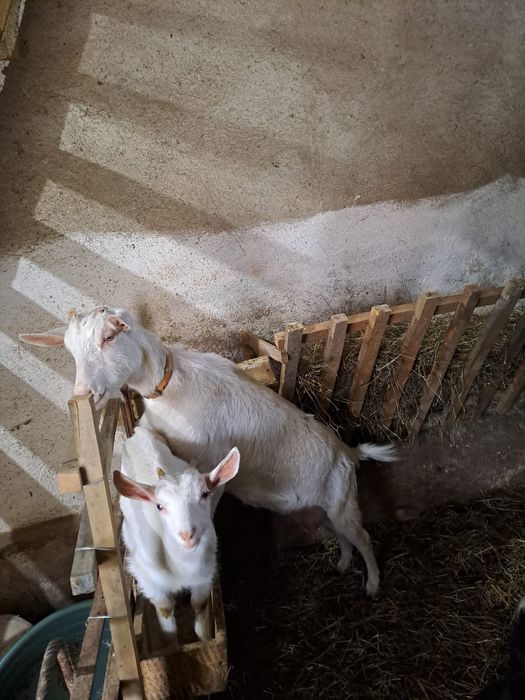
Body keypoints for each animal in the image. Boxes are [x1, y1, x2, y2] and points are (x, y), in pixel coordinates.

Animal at [21, 306, 397, 597]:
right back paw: (342, 565)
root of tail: (349, 453)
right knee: (344, 537)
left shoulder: (209, 463)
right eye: (70, 350)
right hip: (324, 509)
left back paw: (373, 585)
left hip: (343, 502)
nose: (84, 391)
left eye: (109, 338)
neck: (170, 388)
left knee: (363, 537)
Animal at [114, 424, 240, 639]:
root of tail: (139, 433)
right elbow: (165, 609)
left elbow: (200, 605)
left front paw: (204, 638)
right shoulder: (147, 578)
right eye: (159, 506)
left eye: (205, 494)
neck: (181, 565)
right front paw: (170, 640)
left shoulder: (204, 574)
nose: (187, 535)